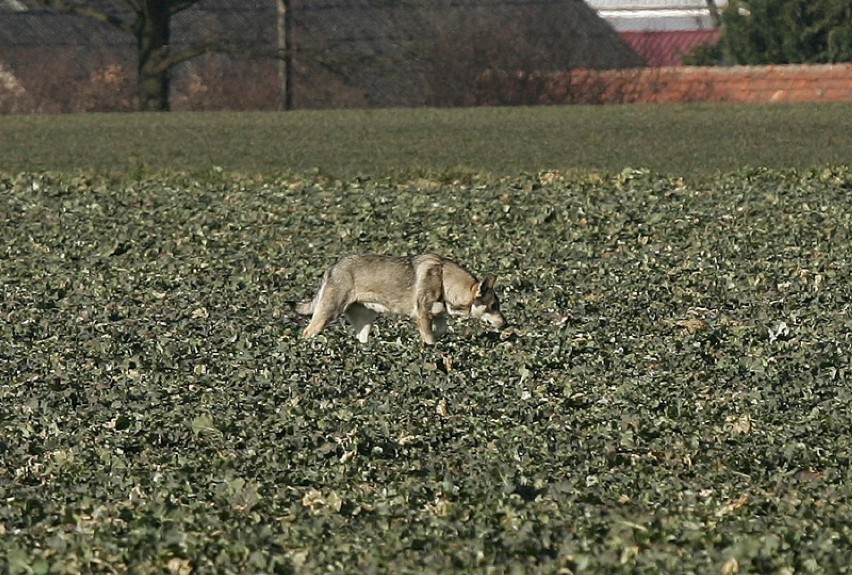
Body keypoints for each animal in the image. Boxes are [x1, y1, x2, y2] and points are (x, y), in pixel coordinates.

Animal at [294, 255, 506, 344]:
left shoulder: (437, 316)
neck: (444, 281)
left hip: (365, 322)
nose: (507, 324)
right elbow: (430, 337)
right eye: (493, 306)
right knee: (306, 332)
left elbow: (439, 331)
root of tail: (332, 267)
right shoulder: (422, 314)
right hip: (327, 314)